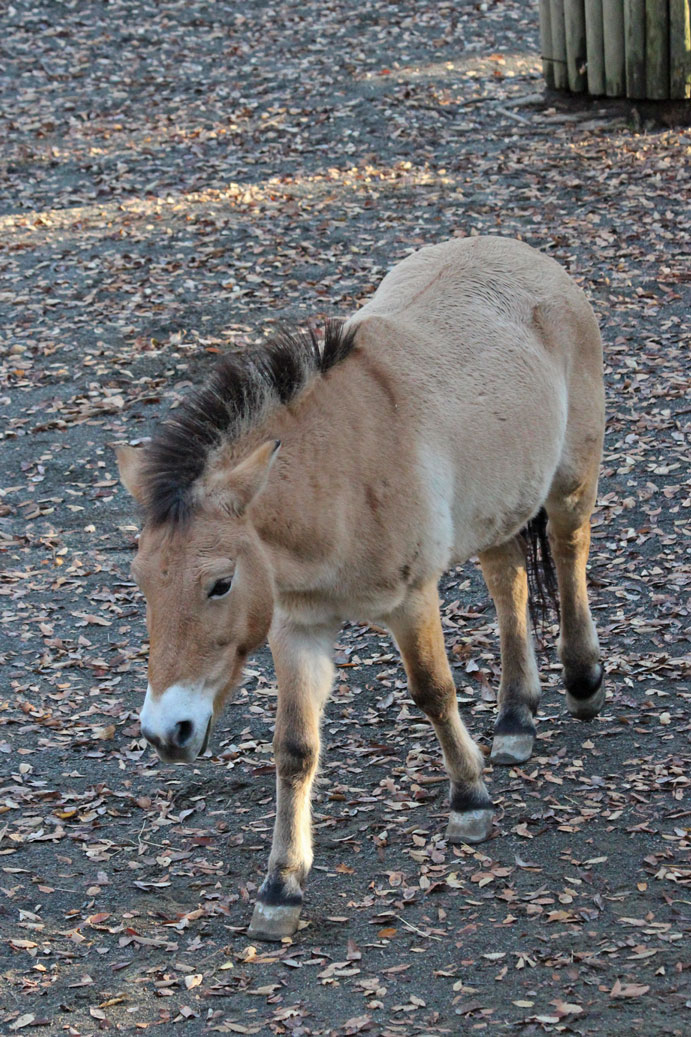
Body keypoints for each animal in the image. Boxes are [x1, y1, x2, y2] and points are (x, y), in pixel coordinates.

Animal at [117, 238, 601, 945]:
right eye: (143, 583)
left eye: (220, 584)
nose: (164, 732)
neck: (340, 472)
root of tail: (529, 257)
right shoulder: (298, 629)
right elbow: (294, 747)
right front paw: (281, 888)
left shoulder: (411, 602)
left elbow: (433, 692)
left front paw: (469, 801)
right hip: (500, 508)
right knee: (506, 581)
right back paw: (515, 718)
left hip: (569, 483)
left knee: (568, 554)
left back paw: (583, 681)